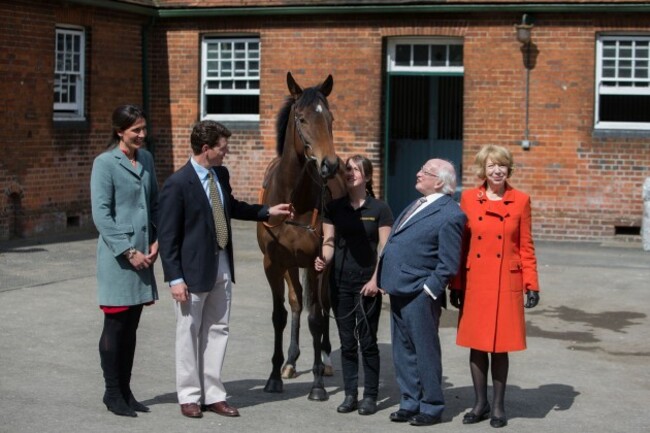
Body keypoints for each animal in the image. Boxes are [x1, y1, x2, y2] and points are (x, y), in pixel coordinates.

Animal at [254, 72, 344, 400]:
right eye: (302, 119)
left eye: (330, 118)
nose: (330, 164)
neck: (294, 200)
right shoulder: (273, 264)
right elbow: (280, 314)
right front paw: (273, 376)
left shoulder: (317, 261)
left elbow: (316, 318)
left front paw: (317, 384)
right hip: (291, 266)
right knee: (296, 303)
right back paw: (291, 361)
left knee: (324, 304)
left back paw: (326, 360)